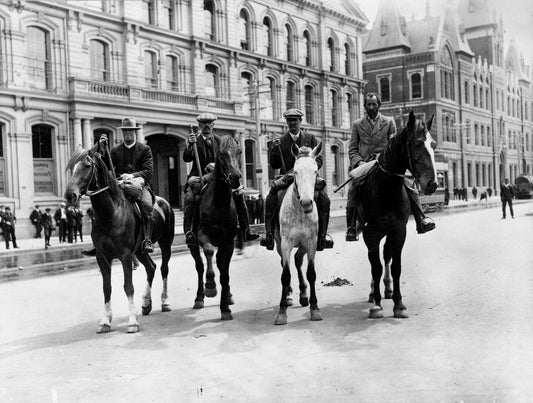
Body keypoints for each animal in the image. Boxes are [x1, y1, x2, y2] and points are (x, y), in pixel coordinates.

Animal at [63, 150, 174, 332]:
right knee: (151, 268)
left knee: (164, 269)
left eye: (87, 166)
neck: (111, 213)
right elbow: (106, 288)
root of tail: (164, 202)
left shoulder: (125, 256)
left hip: (165, 243)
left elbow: (128, 286)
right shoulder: (102, 257)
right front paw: (105, 321)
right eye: (72, 167)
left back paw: (164, 302)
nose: (69, 195)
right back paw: (146, 304)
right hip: (140, 251)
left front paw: (132, 321)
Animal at [185, 136, 239, 322]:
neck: (219, 202)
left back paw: (228, 296)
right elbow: (208, 252)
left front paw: (225, 308)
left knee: (222, 266)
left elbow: (224, 272)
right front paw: (210, 285)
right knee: (200, 266)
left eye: (239, 151)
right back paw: (199, 297)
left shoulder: (228, 242)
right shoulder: (202, 235)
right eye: (221, 154)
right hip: (193, 245)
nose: (236, 177)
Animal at [272, 144, 322, 326]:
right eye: (295, 172)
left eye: (315, 171)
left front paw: (314, 308)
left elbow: (311, 273)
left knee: (298, 261)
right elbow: (285, 275)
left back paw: (303, 294)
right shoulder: (286, 243)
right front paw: (281, 312)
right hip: (280, 244)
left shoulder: (311, 242)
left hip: (303, 245)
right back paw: (288, 295)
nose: (307, 202)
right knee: (285, 263)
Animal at [352, 112, 434, 320]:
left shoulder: (398, 231)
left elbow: (395, 266)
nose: (433, 184)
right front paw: (376, 305)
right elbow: (375, 267)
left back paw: (387, 289)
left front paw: (399, 304)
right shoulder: (370, 233)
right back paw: (374, 294)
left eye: (433, 144)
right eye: (416, 144)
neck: (386, 189)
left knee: (386, 256)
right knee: (376, 260)